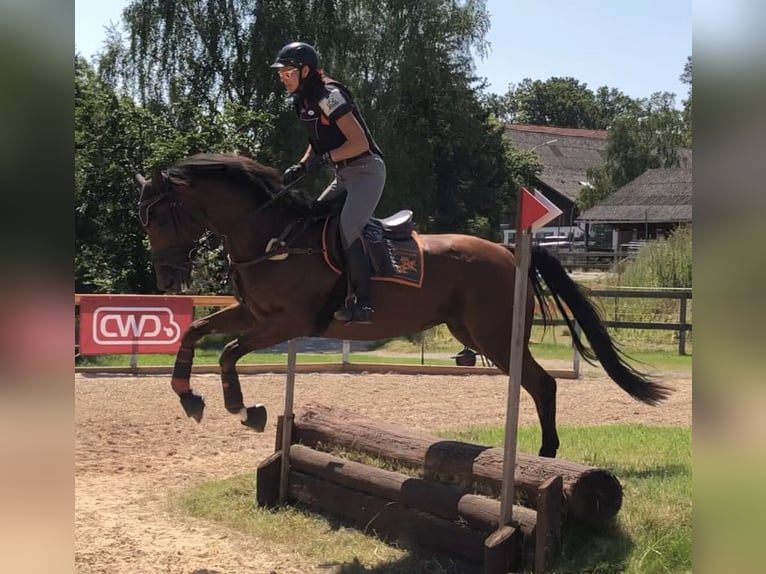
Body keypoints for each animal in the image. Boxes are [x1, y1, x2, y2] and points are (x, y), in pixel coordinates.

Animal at [138, 153, 672, 460]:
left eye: (159, 217)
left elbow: (229, 352)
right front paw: (188, 395)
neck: (274, 237)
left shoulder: (287, 322)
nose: (166, 280)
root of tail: (508, 251)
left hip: (495, 336)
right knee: (536, 383)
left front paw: (243, 408)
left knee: (542, 384)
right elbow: (196, 332)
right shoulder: (255, 314)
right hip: (473, 333)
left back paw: (545, 454)